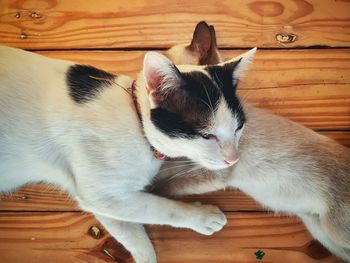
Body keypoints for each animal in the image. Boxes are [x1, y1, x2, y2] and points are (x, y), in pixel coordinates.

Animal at [0, 23, 256, 263]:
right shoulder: (101, 193)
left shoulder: (103, 200)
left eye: (238, 128)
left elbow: (133, 234)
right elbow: (158, 208)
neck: (137, 123)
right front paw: (201, 217)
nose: (233, 159)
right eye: (206, 136)